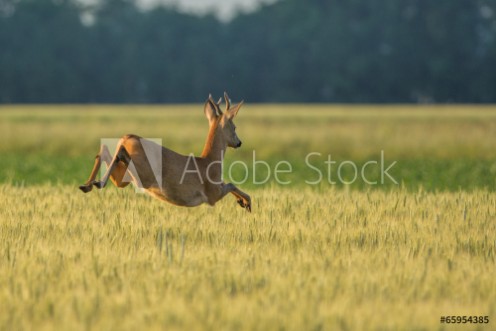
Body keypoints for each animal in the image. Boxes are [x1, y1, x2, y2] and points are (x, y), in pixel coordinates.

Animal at [81, 92, 254, 213]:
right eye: (235, 127)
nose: (239, 142)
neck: (210, 161)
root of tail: (127, 137)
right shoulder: (212, 194)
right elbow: (230, 184)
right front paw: (247, 202)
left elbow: (230, 184)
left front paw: (243, 202)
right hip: (143, 174)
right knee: (118, 154)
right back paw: (97, 182)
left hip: (126, 177)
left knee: (107, 152)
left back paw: (89, 184)